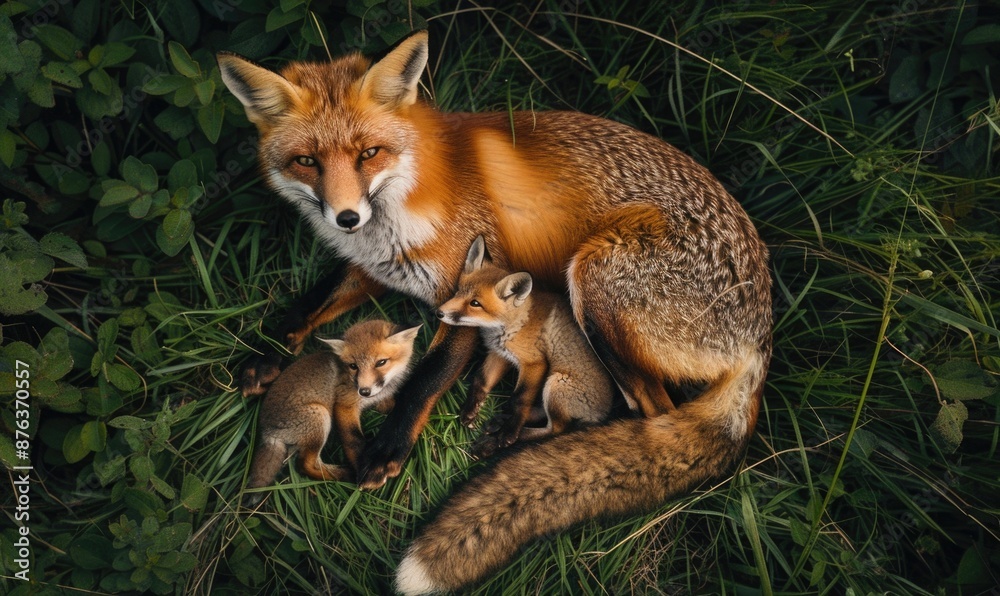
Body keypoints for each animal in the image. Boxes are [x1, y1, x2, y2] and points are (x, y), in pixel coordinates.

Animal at [243, 320, 420, 507]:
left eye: (381, 362)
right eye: (353, 366)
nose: (363, 391)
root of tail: (266, 430)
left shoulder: (379, 399)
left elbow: (391, 405)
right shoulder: (344, 405)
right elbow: (353, 440)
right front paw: (365, 471)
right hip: (320, 417)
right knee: (305, 465)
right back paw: (345, 475)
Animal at [436, 236, 613, 456]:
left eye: (475, 303)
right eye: (458, 291)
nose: (439, 313)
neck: (513, 325)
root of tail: (604, 414)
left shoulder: (534, 363)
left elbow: (520, 399)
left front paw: (509, 433)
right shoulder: (500, 354)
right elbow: (481, 380)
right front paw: (471, 410)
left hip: (555, 383)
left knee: (555, 429)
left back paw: (504, 437)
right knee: (541, 414)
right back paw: (500, 422)